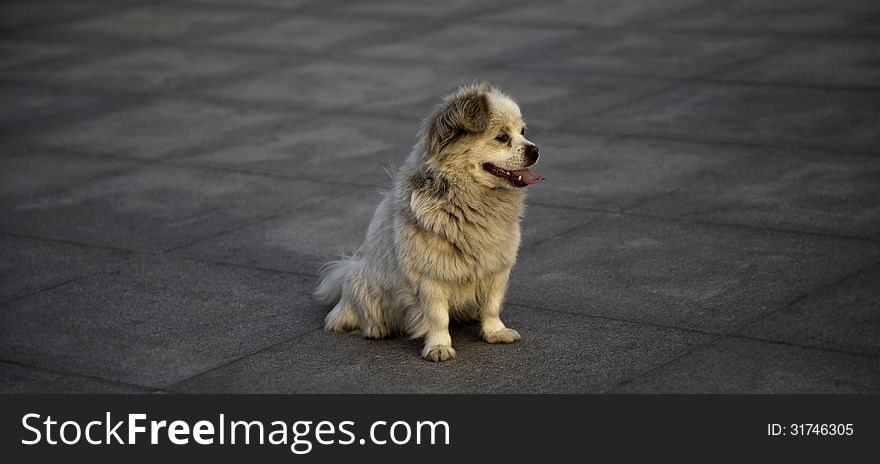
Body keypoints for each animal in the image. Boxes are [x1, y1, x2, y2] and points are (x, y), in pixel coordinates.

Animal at [312, 81, 540, 360]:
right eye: (502, 137)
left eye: (523, 131)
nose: (535, 150)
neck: (470, 203)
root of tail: (349, 268)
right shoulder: (430, 278)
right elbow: (438, 317)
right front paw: (439, 347)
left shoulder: (497, 268)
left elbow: (492, 305)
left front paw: (495, 332)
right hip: (362, 285)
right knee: (357, 315)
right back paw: (376, 328)